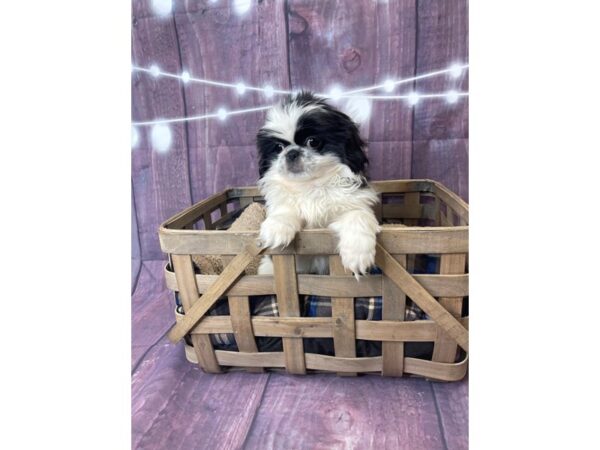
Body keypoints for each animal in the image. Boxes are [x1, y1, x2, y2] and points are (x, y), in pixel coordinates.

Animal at [254, 91, 380, 278]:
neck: (311, 186)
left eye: (312, 142)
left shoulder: (356, 203)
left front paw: (357, 254)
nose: (291, 153)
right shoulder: (302, 260)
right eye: (278, 148)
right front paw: (277, 227)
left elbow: (358, 216)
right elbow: (285, 209)